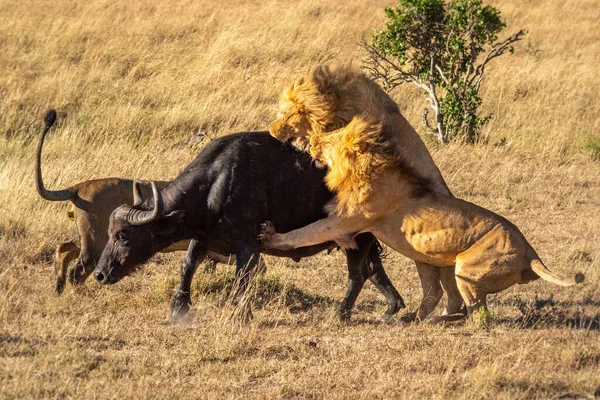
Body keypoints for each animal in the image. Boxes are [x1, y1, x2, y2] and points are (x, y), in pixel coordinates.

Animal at [77, 111, 406, 320]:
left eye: (123, 235)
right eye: (110, 233)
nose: (100, 274)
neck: (217, 182)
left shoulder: (247, 240)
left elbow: (242, 277)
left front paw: (240, 312)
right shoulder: (203, 235)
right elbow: (187, 265)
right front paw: (179, 307)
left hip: (357, 237)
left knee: (358, 274)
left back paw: (342, 313)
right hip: (365, 239)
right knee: (373, 270)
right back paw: (392, 307)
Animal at [262, 65, 580, 322]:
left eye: (288, 114)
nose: (271, 129)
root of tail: (530, 253)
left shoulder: (345, 220)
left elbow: (305, 232)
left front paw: (272, 236)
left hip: (459, 266)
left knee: (468, 309)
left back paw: (432, 318)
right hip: (432, 257)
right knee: (444, 297)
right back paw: (415, 315)